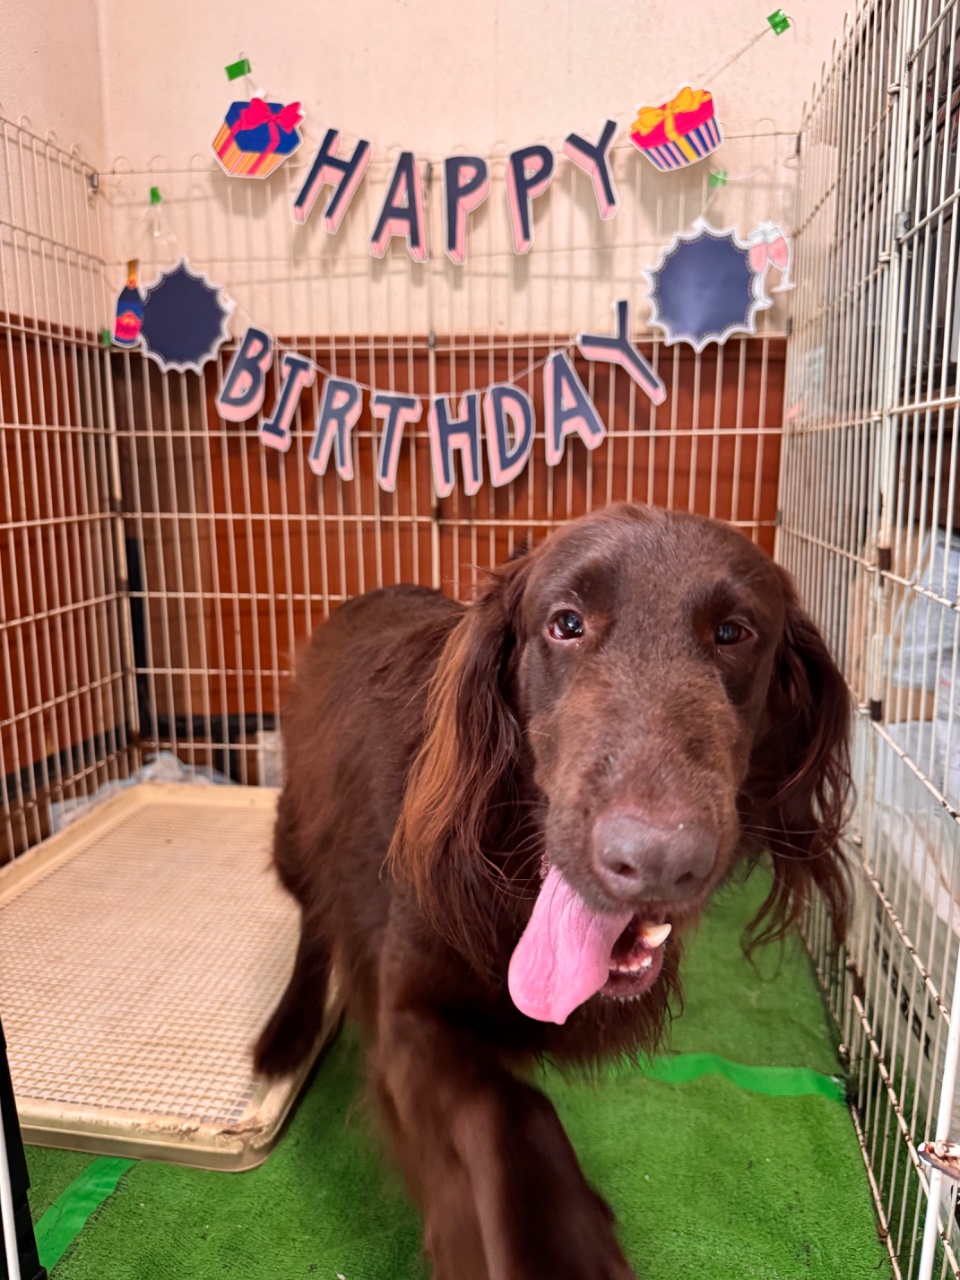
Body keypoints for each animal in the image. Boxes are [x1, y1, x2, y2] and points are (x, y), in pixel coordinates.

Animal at [255, 502, 851, 1280]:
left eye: (733, 633)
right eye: (566, 623)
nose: (657, 859)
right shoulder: (408, 1013)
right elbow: (509, 1108)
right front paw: (558, 1244)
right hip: (297, 829)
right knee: (314, 919)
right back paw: (288, 1033)